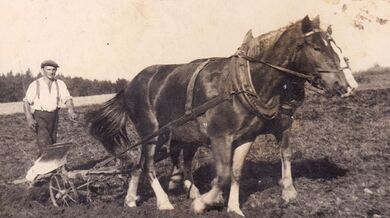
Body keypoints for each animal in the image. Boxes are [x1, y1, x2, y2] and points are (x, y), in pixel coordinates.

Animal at [87, 15, 358, 216]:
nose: (346, 86)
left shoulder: (248, 136)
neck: (244, 84)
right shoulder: (220, 136)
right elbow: (223, 173)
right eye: (317, 47)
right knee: (149, 164)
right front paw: (203, 203)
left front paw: (234, 208)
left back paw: (132, 199)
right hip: (151, 130)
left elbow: (236, 172)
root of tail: (129, 85)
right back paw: (164, 201)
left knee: (140, 162)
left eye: (336, 48)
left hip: (168, 133)